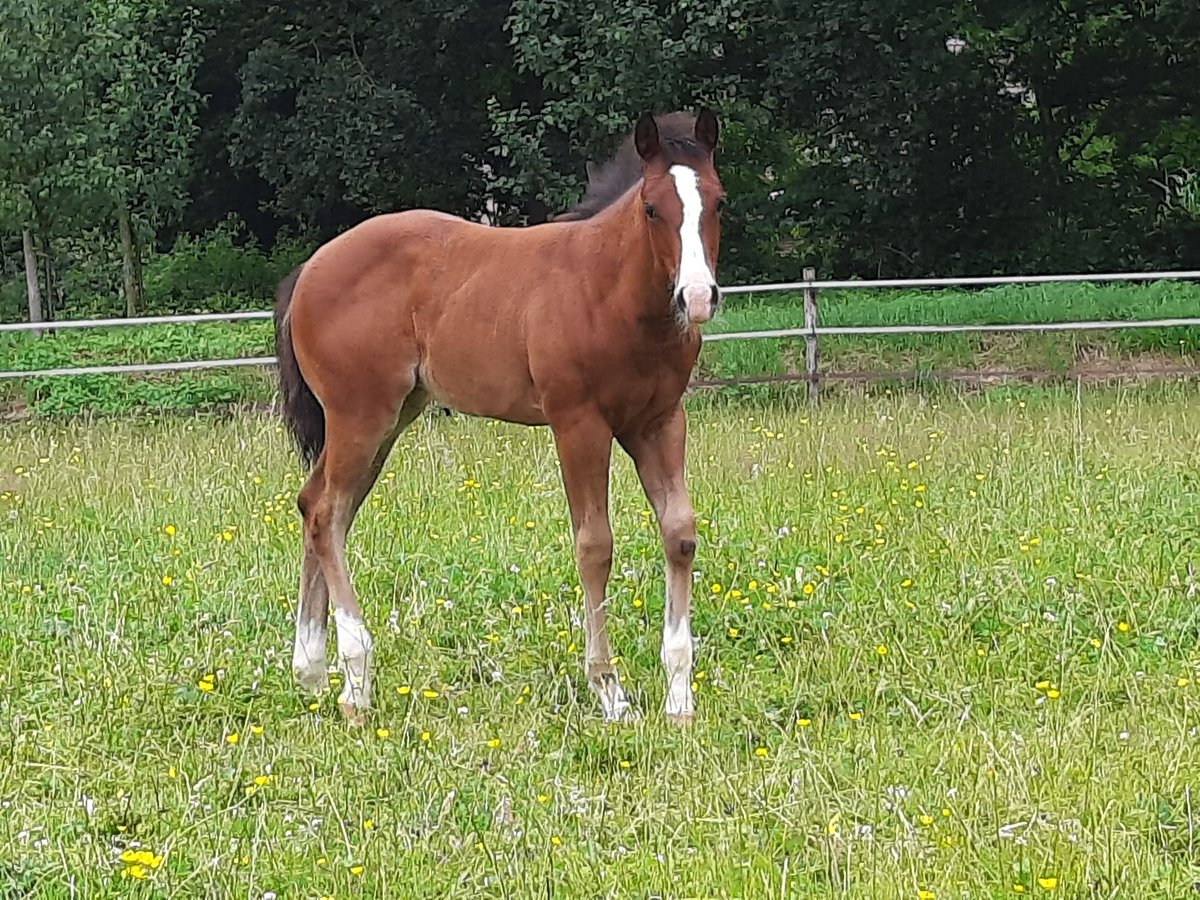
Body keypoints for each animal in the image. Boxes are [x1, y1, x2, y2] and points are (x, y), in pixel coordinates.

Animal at [274, 109, 720, 724]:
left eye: (719, 202)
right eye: (653, 208)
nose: (697, 297)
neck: (611, 293)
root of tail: (310, 268)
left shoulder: (660, 421)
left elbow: (679, 533)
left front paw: (680, 695)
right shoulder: (578, 423)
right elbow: (595, 545)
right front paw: (609, 690)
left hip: (388, 419)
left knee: (321, 508)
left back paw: (315, 672)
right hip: (359, 416)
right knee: (324, 513)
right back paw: (357, 678)